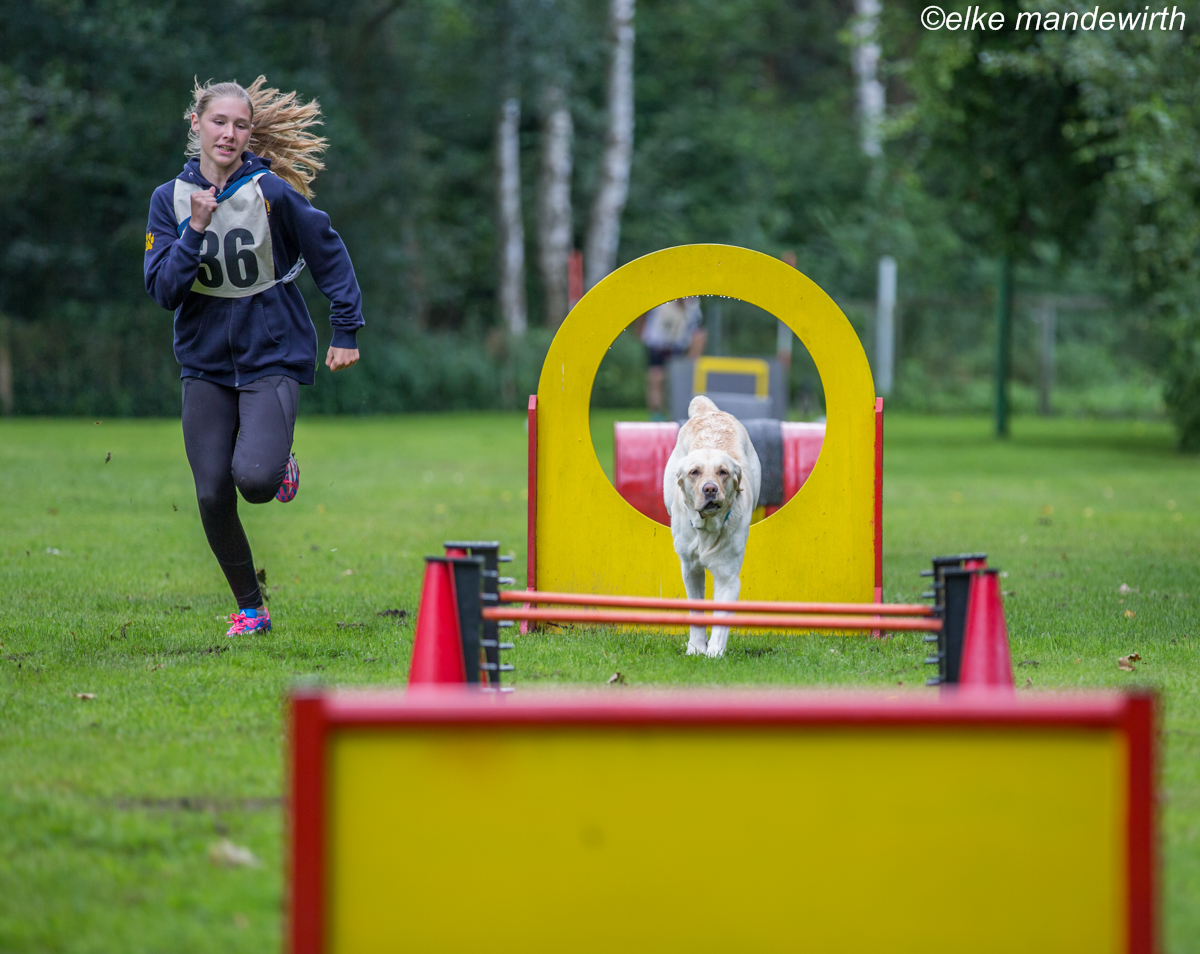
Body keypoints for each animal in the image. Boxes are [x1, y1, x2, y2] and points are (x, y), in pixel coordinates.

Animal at [663, 395, 762, 657]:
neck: (707, 529)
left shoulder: (728, 576)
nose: (710, 489)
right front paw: (696, 648)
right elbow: (697, 612)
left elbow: (720, 618)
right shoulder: (690, 570)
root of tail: (709, 411)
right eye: (694, 472)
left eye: (723, 472)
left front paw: (714, 653)